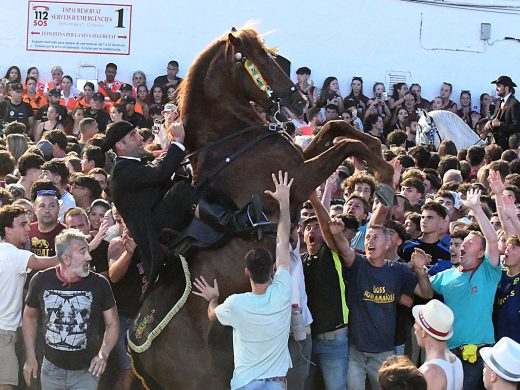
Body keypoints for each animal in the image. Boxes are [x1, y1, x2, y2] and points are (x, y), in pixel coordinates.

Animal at [132, 25, 392, 388]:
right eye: (262, 58)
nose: (300, 102)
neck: (231, 143)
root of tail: (139, 356)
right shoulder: (296, 179)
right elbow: (344, 144)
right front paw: (385, 173)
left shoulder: (298, 164)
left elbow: (335, 128)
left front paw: (377, 151)